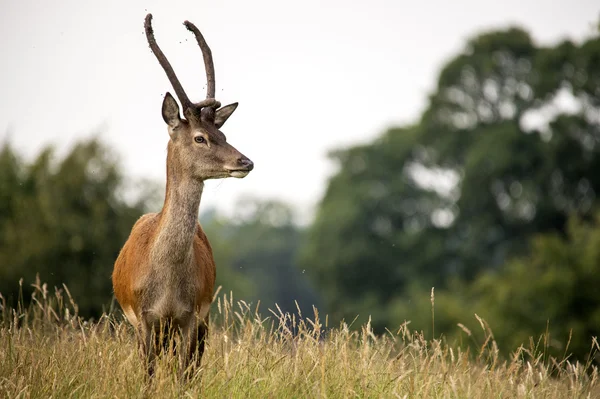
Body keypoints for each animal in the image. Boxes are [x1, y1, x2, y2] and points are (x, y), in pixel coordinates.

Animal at [112, 14, 253, 378]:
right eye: (200, 137)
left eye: (223, 134)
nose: (245, 161)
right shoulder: (144, 319)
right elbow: (147, 376)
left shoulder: (192, 315)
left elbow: (184, 376)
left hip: (203, 320)